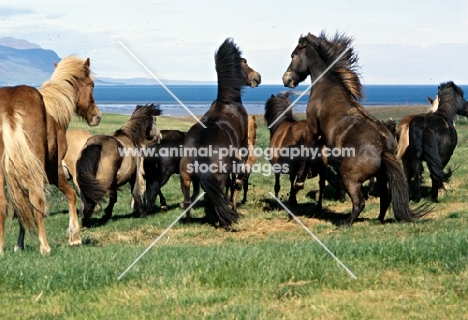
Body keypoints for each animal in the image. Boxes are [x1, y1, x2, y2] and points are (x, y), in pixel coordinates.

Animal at [0, 55, 101, 255]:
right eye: (92, 84)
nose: (97, 116)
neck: (52, 113)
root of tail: (10, 105)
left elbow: (21, 205)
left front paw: (18, 244)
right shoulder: (53, 170)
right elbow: (71, 195)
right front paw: (74, 237)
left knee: (2, 203)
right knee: (37, 199)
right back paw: (45, 247)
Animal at [178, 38, 262, 226]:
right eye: (245, 62)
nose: (257, 77)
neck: (227, 102)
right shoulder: (242, 151)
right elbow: (236, 182)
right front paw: (234, 205)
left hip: (186, 177)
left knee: (188, 201)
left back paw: (189, 220)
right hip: (217, 179)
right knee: (216, 199)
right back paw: (222, 219)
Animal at [280, 31, 430, 224]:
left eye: (293, 55)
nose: (286, 79)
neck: (326, 88)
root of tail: (383, 149)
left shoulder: (312, 128)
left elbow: (306, 151)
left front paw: (299, 181)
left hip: (349, 177)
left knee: (359, 202)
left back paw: (345, 222)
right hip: (381, 177)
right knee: (385, 197)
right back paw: (378, 220)